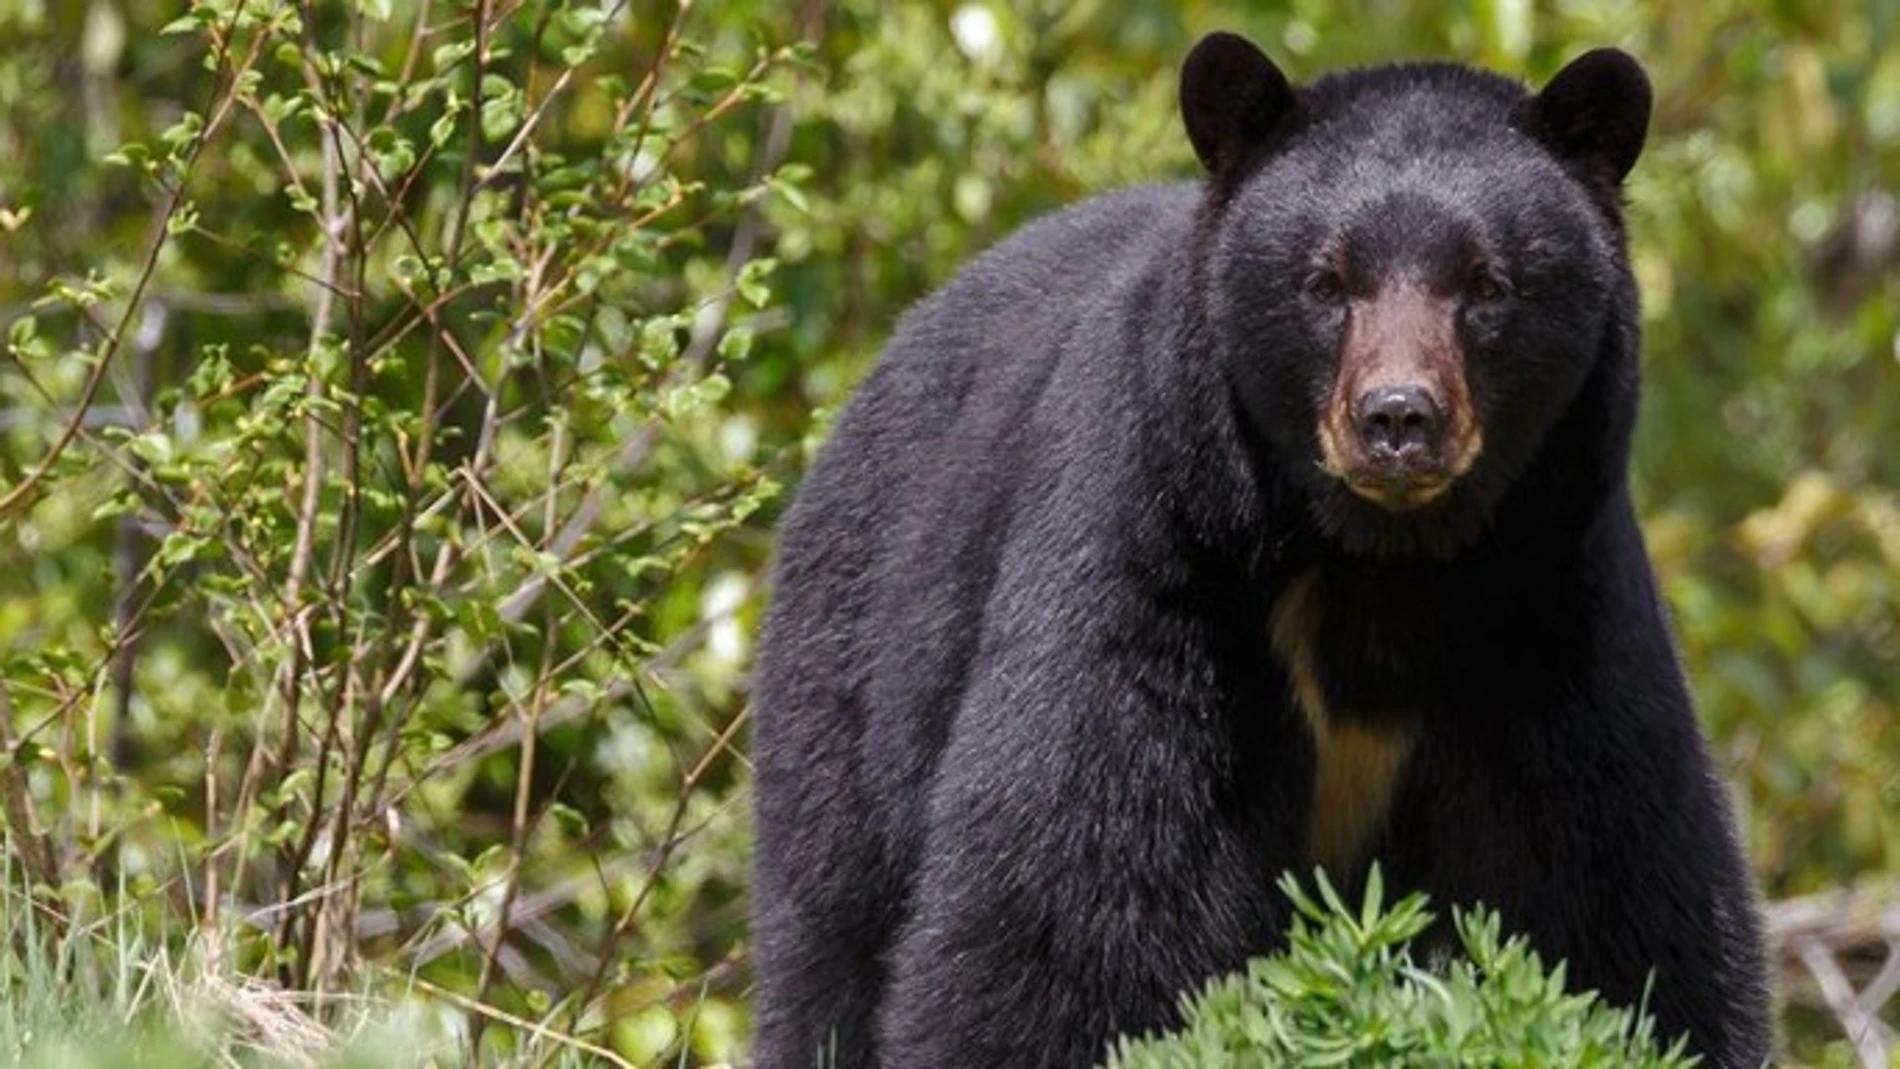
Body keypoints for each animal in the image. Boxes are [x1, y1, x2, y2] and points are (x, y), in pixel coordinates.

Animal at [750, 31, 1772, 1069]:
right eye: (1326, 282)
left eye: (1486, 285)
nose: (1397, 419)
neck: (1379, 563)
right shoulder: (1158, 556)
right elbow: (1075, 890)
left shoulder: (1548, 607)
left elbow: (1608, 891)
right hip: (856, 663)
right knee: (832, 929)